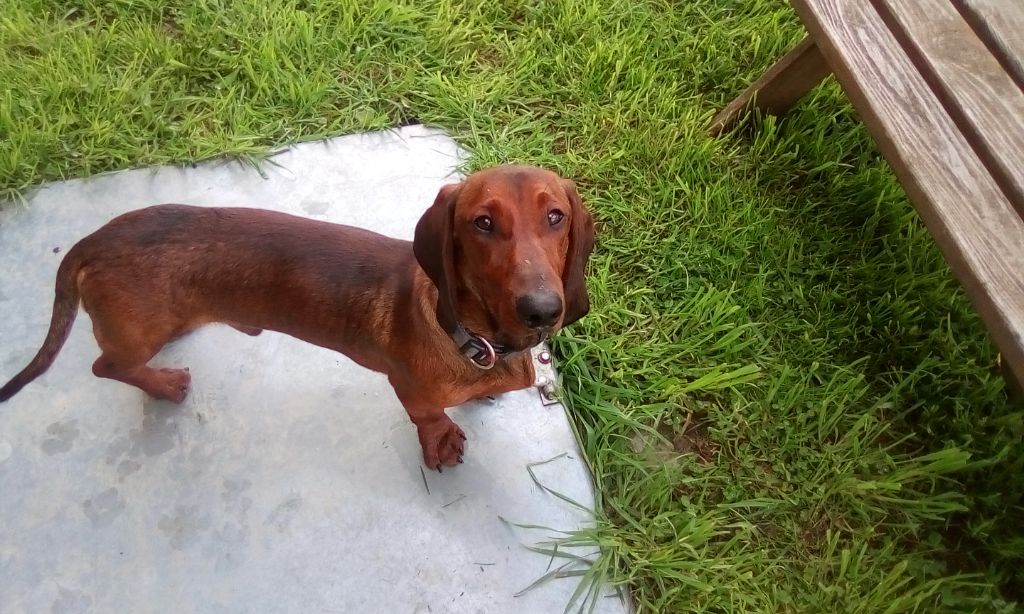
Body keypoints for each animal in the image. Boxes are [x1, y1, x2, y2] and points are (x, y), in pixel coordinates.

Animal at [0, 165, 593, 468]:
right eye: (482, 222)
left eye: (555, 216)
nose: (543, 311)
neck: (474, 336)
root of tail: (93, 242)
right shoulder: (408, 389)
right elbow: (428, 418)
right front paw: (441, 442)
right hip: (132, 336)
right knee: (107, 367)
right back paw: (163, 386)